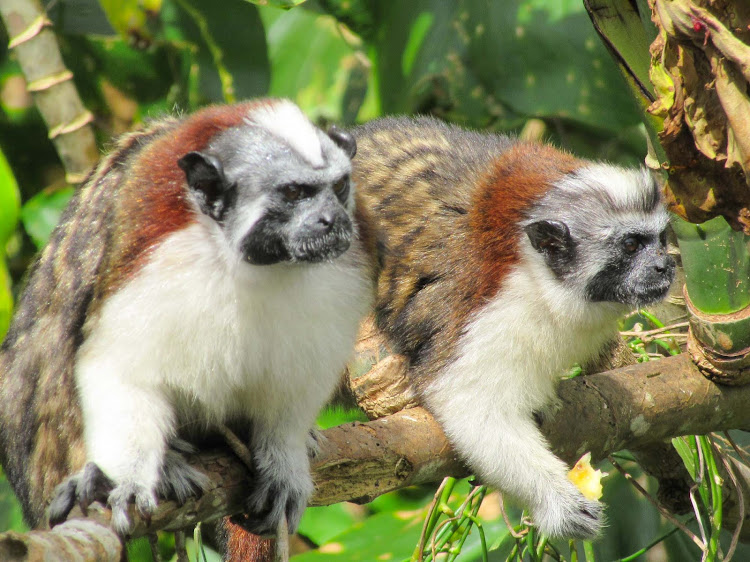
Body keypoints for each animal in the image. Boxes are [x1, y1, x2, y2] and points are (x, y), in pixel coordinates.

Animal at [0, 98, 374, 536]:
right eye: (295, 193)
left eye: (339, 187)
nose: (332, 220)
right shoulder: (158, 262)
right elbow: (118, 369)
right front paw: (129, 476)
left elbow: (293, 384)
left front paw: (284, 459)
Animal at [352, 115, 676, 540]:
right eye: (632, 246)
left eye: (660, 240)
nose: (665, 265)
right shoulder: (492, 307)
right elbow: (469, 402)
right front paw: (558, 502)